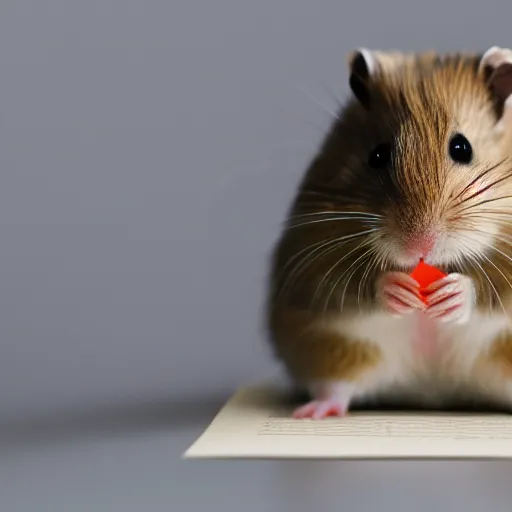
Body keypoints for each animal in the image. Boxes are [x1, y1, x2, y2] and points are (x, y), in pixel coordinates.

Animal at [264, 45, 512, 420]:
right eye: (377, 154)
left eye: (462, 148)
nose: (419, 247)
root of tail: (431, 395)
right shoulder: (314, 247)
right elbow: (353, 283)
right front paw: (397, 288)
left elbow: (486, 288)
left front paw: (451, 293)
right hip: (335, 348)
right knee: (336, 386)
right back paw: (312, 413)